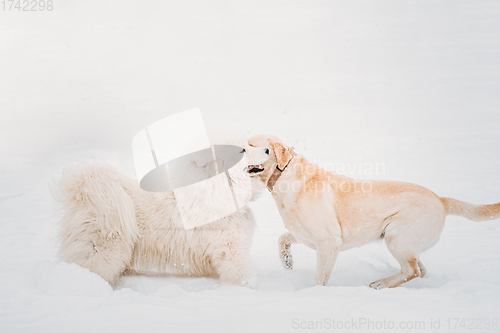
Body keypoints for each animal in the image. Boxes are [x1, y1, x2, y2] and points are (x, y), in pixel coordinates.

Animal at [54, 130, 270, 286]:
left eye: (249, 144)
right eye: (242, 150)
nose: (268, 150)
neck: (215, 187)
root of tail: (83, 189)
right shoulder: (231, 249)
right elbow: (242, 274)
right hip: (106, 248)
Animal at [248, 134, 498, 286]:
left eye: (258, 147)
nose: (241, 150)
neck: (283, 176)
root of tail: (441, 199)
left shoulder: (329, 242)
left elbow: (319, 278)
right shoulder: (304, 235)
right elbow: (282, 239)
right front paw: (287, 262)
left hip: (396, 236)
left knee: (412, 270)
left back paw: (380, 284)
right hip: (406, 242)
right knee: (420, 269)